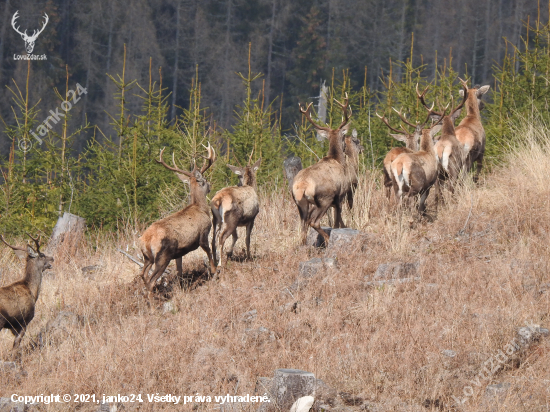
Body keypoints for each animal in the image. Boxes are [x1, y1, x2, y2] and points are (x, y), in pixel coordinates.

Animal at [139, 144, 217, 300]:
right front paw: (214, 271)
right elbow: (209, 252)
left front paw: (182, 288)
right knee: (150, 280)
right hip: (162, 256)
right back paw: (153, 303)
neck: (201, 208)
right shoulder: (203, 233)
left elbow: (179, 271)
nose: (210, 185)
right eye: (205, 180)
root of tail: (145, 241)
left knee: (143, 275)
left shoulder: (179, 252)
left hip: (148, 258)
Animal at [294, 95, 354, 246]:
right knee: (313, 221)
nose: (345, 146)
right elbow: (337, 221)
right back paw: (327, 239)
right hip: (325, 198)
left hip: (301, 204)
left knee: (303, 225)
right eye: (343, 137)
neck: (337, 160)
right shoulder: (340, 196)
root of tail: (302, 186)